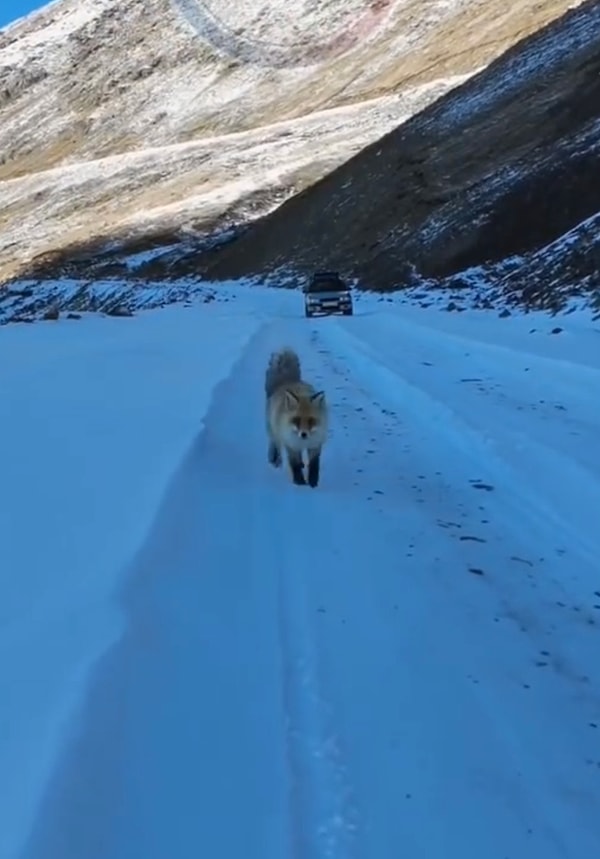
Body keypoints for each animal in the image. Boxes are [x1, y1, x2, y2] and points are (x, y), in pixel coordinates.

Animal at [264, 348, 328, 488]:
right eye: (296, 420)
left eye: (311, 420)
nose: (303, 434)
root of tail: (288, 382)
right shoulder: (291, 444)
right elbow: (295, 465)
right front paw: (300, 483)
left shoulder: (315, 445)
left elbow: (314, 466)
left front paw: (313, 483)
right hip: (274, 431)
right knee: (274, 444)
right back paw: (275, 459)